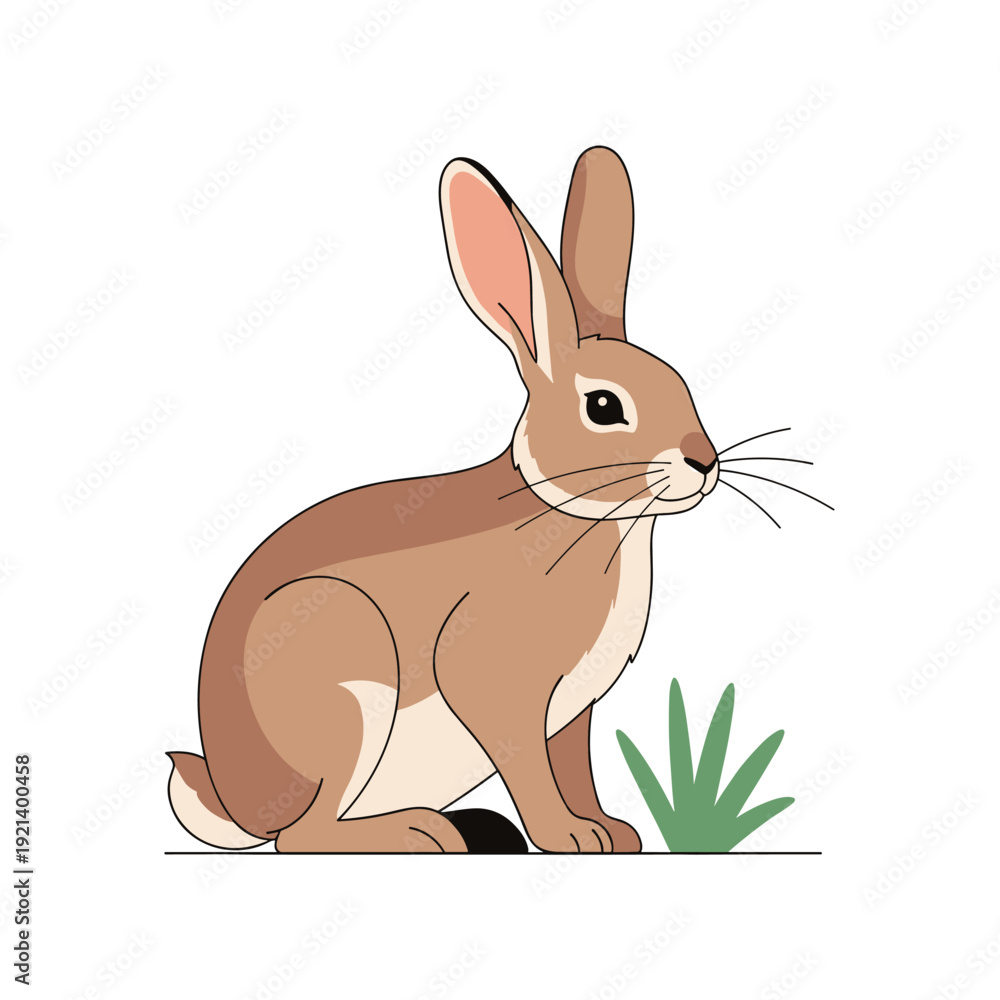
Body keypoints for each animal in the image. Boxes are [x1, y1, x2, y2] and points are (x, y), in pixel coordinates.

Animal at [168, 146, 720, 853]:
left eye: (680, 384)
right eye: (603, 407)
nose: (704, 461)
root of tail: (235, 800)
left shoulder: (573, 712)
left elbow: (574, 768)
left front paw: (611, 833)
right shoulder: (497, 688)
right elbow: (529, 768)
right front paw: (566, 838)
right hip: (346, 687)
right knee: (304, 835)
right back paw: (419, 834)